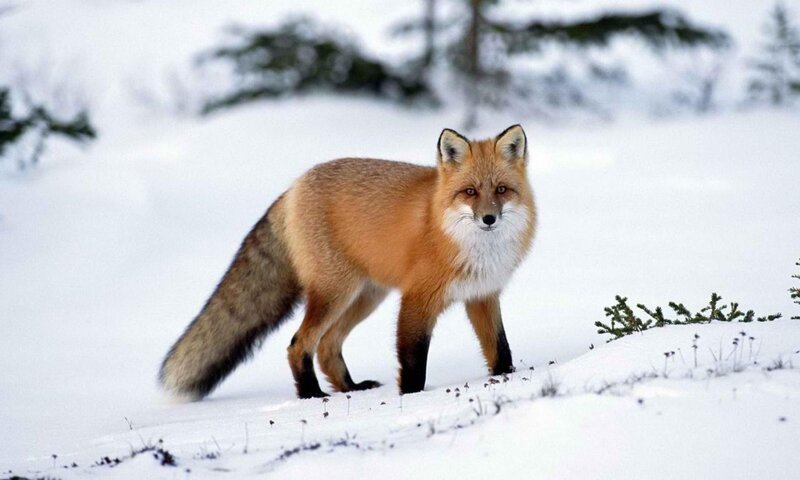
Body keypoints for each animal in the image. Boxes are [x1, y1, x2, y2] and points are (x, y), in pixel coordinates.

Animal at [159, 124, 536, 399]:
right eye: (470, 192)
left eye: (501, 190)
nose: (488, 219)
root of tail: (293, 186)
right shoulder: (417, 299)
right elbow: (413, 359)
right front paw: (412, 397)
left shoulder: (482, 295)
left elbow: (500, 349)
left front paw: (506, 378)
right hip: (335, 293)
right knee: (299, 344)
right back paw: (311, 395)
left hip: (365, 296)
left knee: (327, 346)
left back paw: (350, 388)